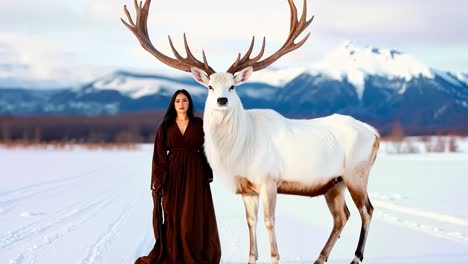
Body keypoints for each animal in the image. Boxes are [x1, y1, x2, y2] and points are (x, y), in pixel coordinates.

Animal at [123, 0, 380, 264]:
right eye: (210, 86)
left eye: (233, 86)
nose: (222, 100)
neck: (240, 151)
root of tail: (375, 134)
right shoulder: (247, 189)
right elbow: (251, 222)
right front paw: (251, 257)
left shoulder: (269, 180)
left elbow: (269, 222)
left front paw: (275, 257)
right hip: (334, 182)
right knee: (342, 216)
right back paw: (320, 257)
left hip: (356, 173)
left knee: (367, 210)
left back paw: (356, 257)